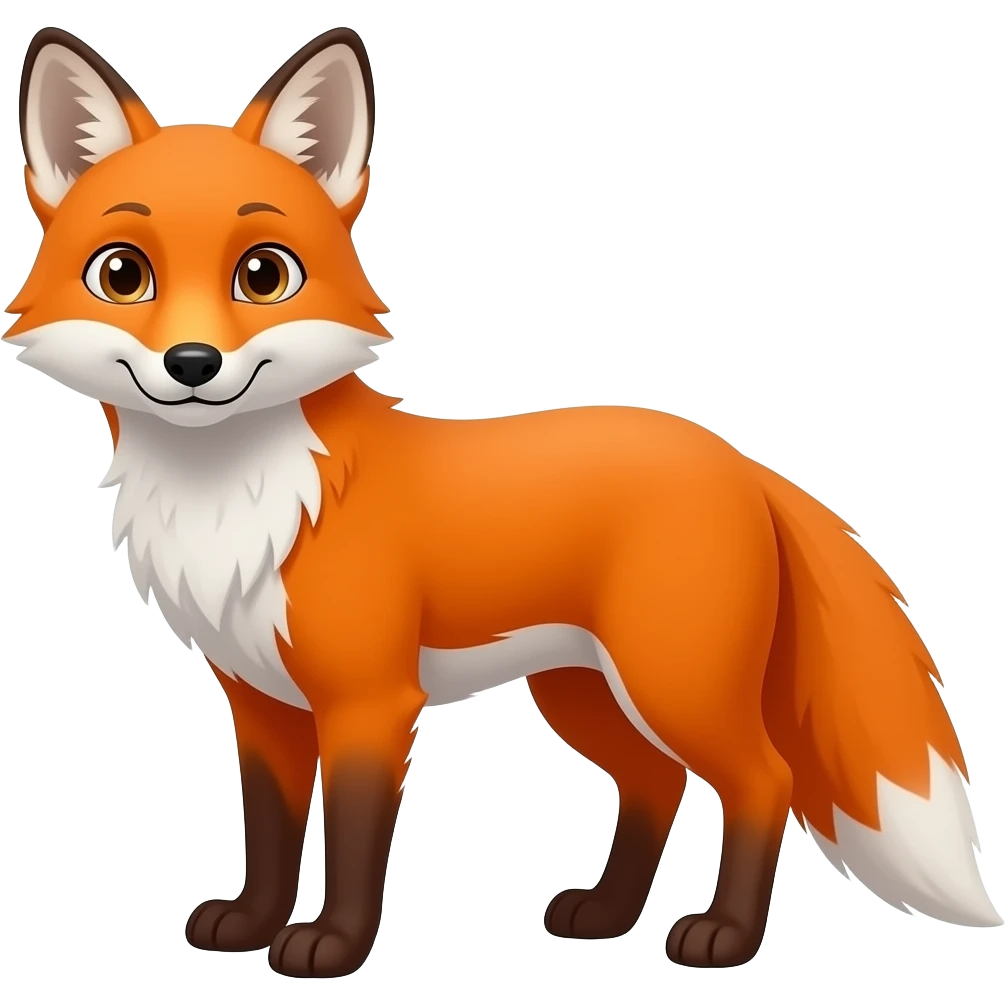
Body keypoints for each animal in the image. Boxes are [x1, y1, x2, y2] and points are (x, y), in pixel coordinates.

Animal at [8, 25, 1001, 979]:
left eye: (263, 275)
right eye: (123, 275)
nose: (193, 364)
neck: (235, 496)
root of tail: (737, 458)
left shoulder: (370, 701)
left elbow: (356, 840)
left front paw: (332, 947)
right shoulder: (261, 700)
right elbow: (272, 830)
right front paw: (251, 924)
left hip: (674, 682)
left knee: (765, 781)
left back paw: (723, 936)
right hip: (584, 692)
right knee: (655, 784)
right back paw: (605, 916)